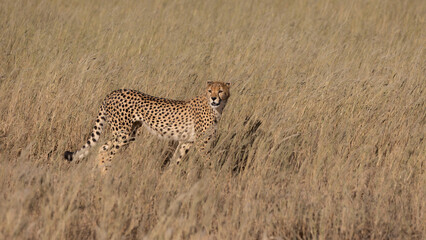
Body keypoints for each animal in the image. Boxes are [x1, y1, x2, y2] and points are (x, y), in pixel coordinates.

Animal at [62, 81, 230, 172]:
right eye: (210, 91)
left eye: (220, 91)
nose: (214, 98)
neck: (216, 108)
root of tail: (113, 92)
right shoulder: (202, 143)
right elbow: (209, 163)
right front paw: (215, 180)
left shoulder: (186, 141)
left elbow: (176, 160)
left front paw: (167, 179)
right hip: (123, 134)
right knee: (107, 152)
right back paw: (105, 175)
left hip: (128, 133)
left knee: (102, 148)